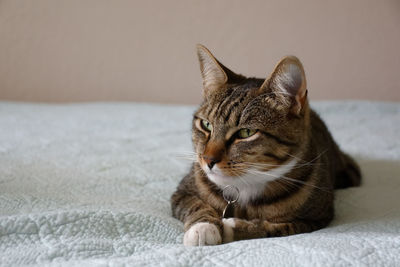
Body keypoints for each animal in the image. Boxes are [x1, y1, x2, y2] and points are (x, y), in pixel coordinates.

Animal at [170, 44, 360, 247]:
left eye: (246, 133)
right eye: (206, 125)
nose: (207, 160)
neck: (246, 186)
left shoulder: (316, 218)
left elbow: (278, 228)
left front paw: (233, 227)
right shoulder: (182, 192)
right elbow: (195, 205)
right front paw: (203, 227)